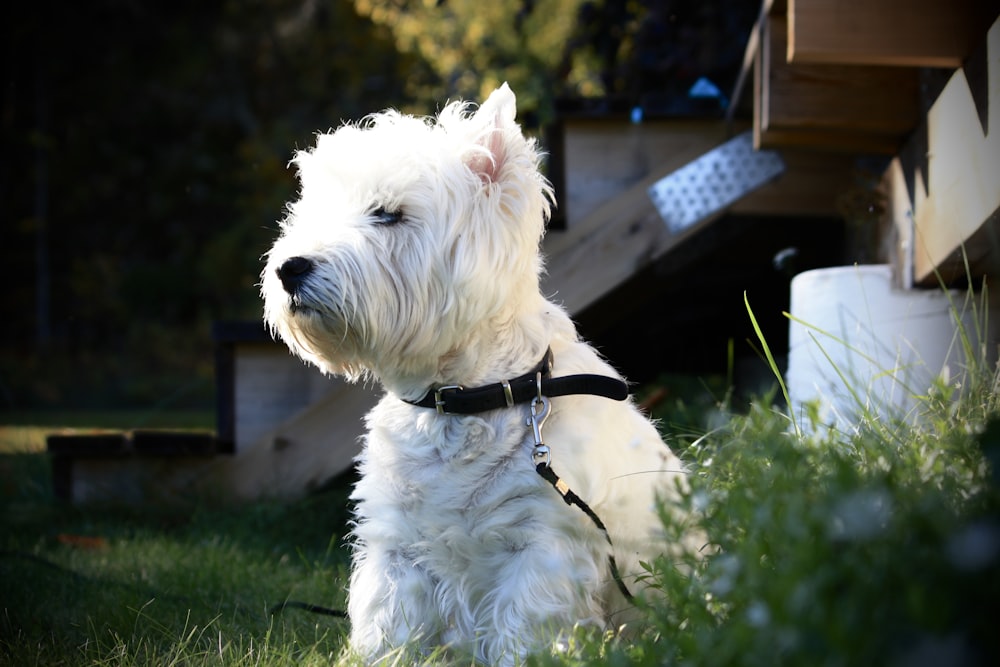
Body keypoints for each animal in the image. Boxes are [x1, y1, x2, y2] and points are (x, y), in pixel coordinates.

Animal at [262, 86, 692, 664]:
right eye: (314, 211)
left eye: (388, 214)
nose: (289, 269)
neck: (460, 399)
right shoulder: (398, 550)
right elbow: (389, 631)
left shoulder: (542, 545)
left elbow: (521, 635)